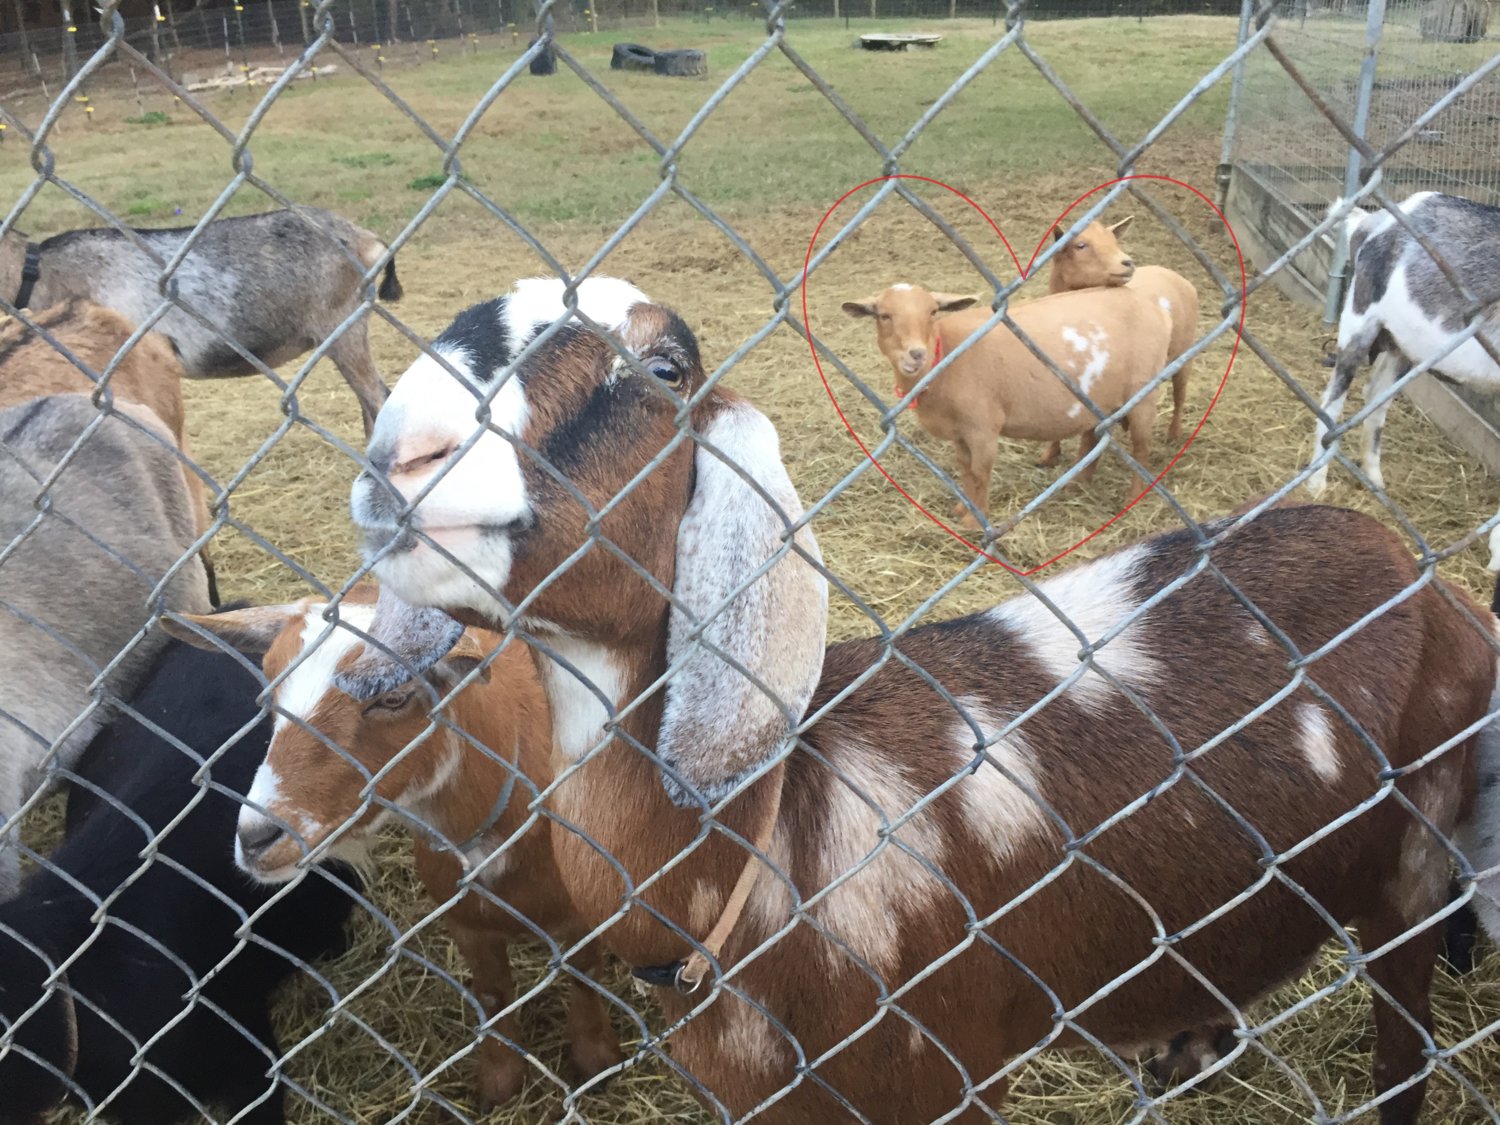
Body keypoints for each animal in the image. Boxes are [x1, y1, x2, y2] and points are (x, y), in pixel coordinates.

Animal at [167, 591, 624, 1110]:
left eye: (394, 698)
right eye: (270, 693)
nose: (257, 837)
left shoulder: (583, 912)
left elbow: (586, 974)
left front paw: (596, 1059)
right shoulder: (464, 918)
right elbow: (492, 993)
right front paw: (500, 1081)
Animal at [846, 280, 1170, 531]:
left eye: (933, 311)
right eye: (883, 315)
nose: (916, 354)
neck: (946, 353)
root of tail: (1148, 304)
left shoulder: (983, 426)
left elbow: (980, 472)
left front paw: (975, 523)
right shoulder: (961, 432)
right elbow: (965, 469)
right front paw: (963, 511)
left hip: (1144, 391)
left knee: (1141, 448)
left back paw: (1131, 500)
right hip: (1099, 401)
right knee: (1093, 439)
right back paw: (1077, 484)